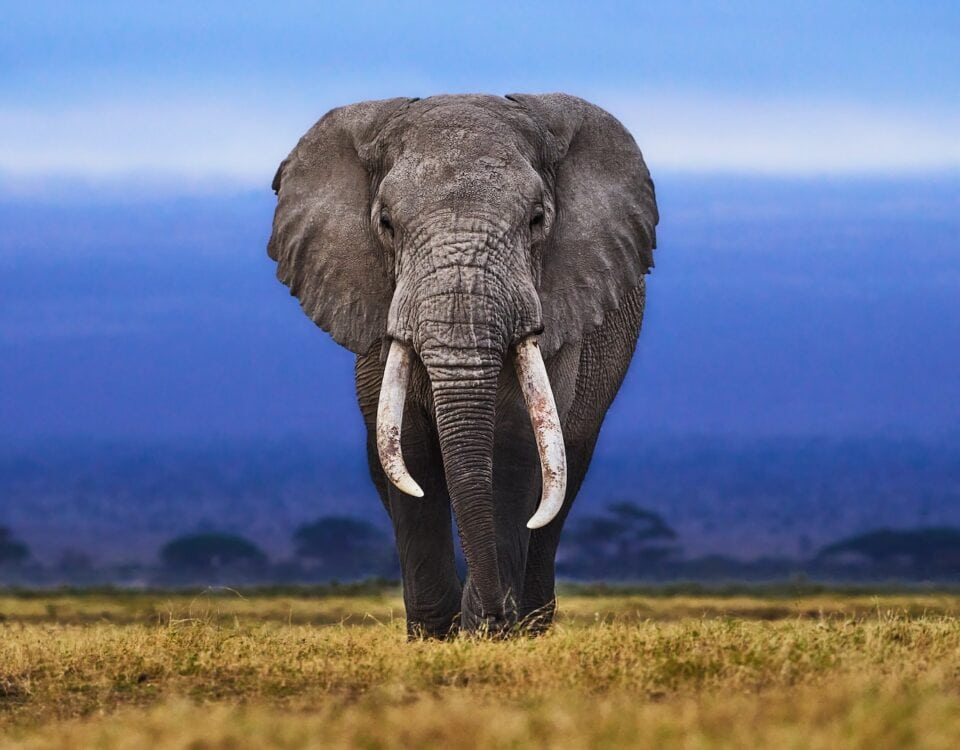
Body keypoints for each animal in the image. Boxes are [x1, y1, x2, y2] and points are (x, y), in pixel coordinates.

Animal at [267, 93, 658, 637]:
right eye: (386, 225)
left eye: (537, 219)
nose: (493, 614)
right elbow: (409, 452)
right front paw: (437, 635)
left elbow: (515, 445)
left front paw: (488, 632)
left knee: (563, 480)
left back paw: (530, 624)